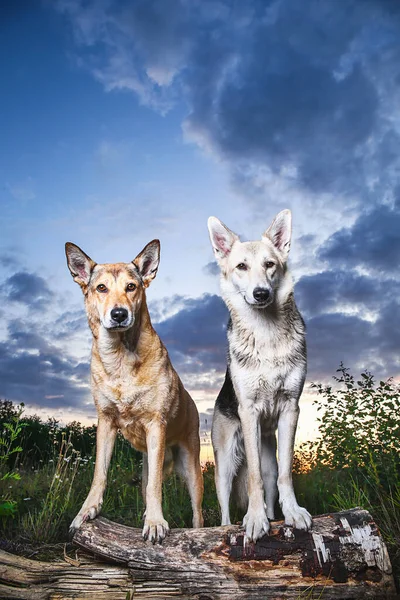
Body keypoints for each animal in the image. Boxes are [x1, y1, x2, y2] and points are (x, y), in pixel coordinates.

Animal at [66, 240, 205, 544]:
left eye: (131, 287)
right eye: (101, 288)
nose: (119, 314)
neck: (119, 360)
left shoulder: (155, 424)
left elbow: (155, 488)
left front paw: (155, 523)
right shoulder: (106, 422)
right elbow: (99, 473)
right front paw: (86, 510)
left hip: (192, 470)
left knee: (197, 513)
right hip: (148, 463)